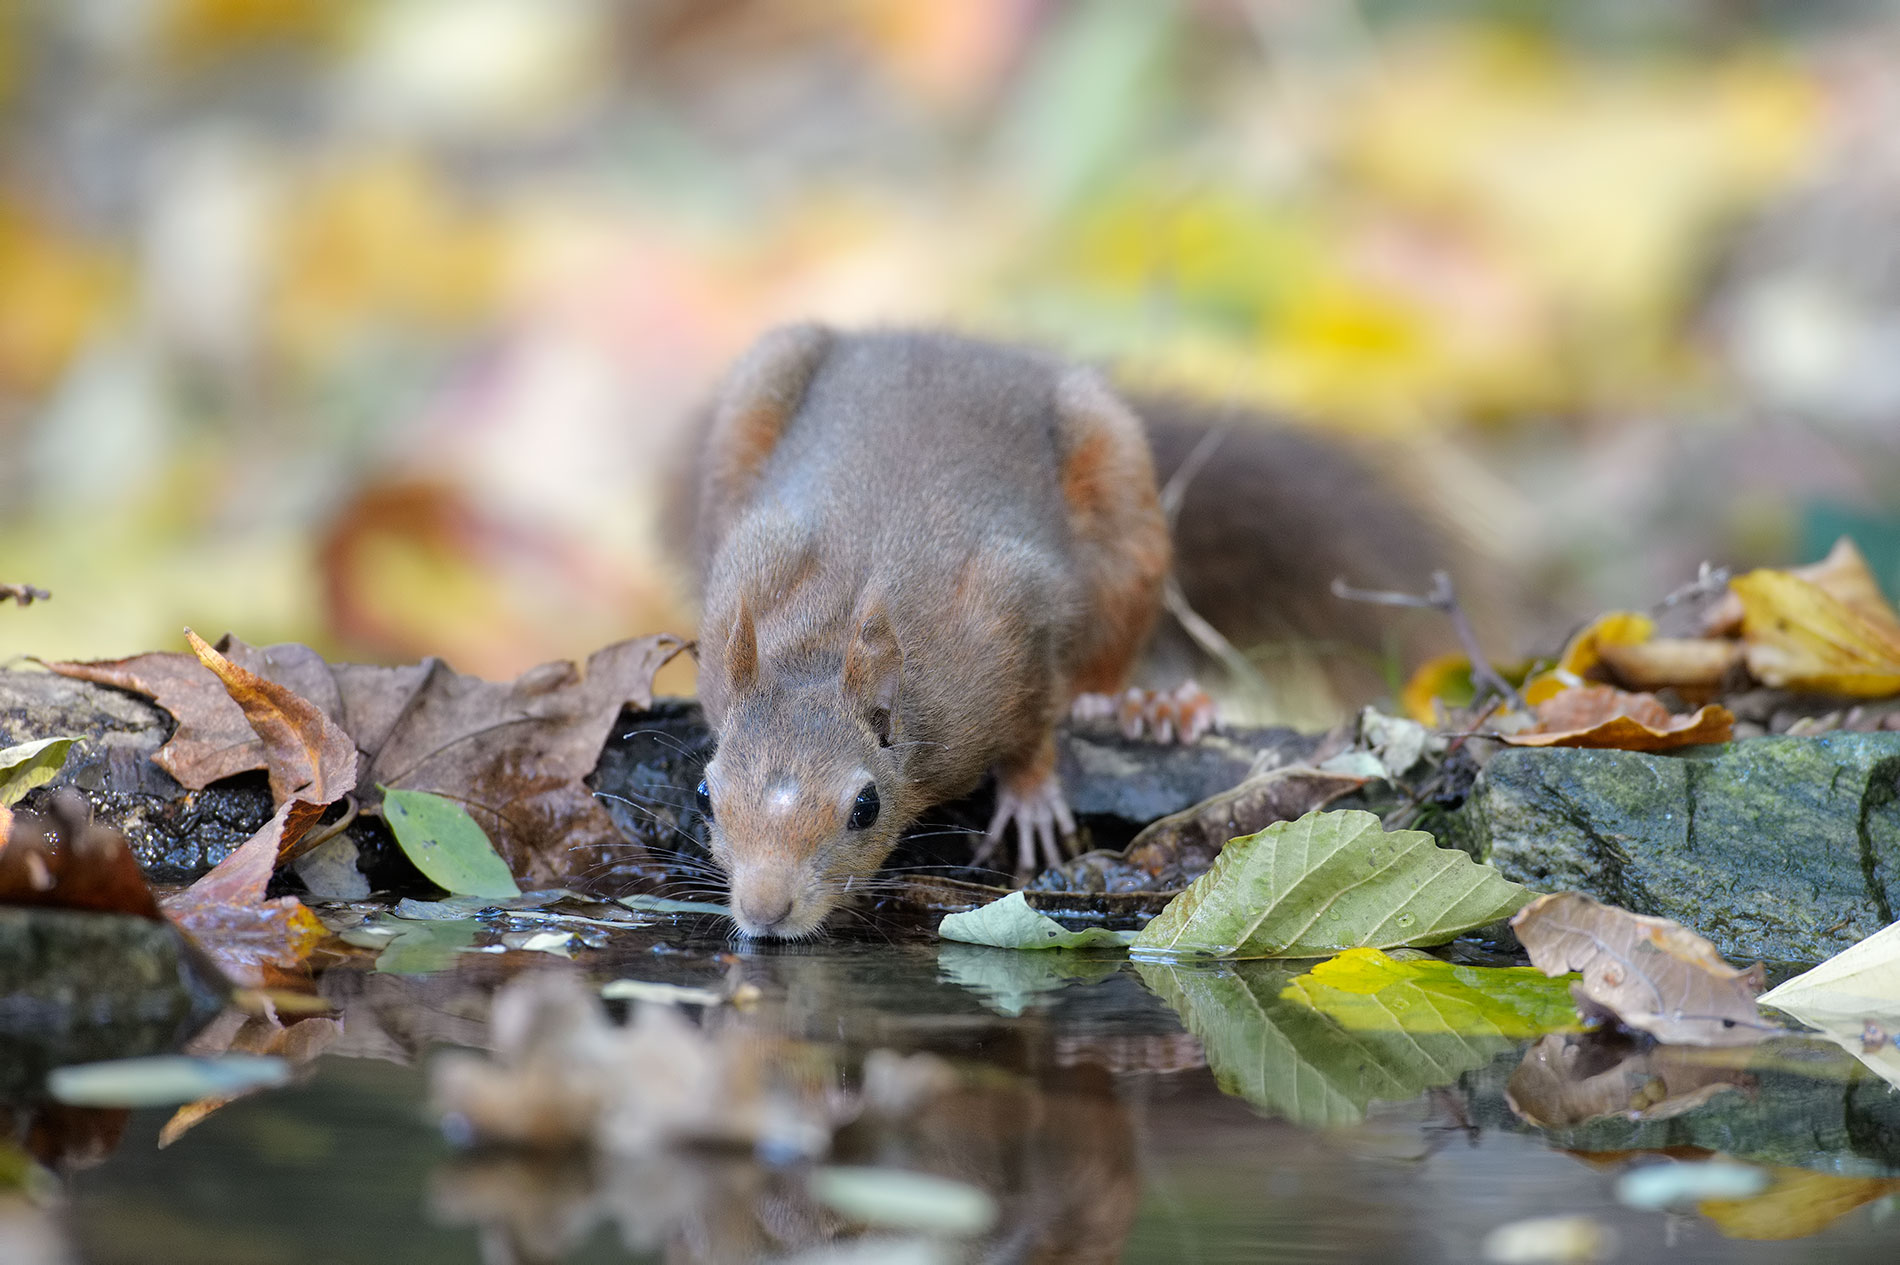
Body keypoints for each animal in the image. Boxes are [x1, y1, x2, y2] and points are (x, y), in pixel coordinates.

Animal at [668, 326, 1472, 938]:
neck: (827, 638)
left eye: (864, 807)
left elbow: (1035, 712)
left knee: (1106, 659)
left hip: (1123, 511)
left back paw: (1145, 707)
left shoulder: (1007, 613)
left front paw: (1031, 798)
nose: (763, 911)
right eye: (704, 794)